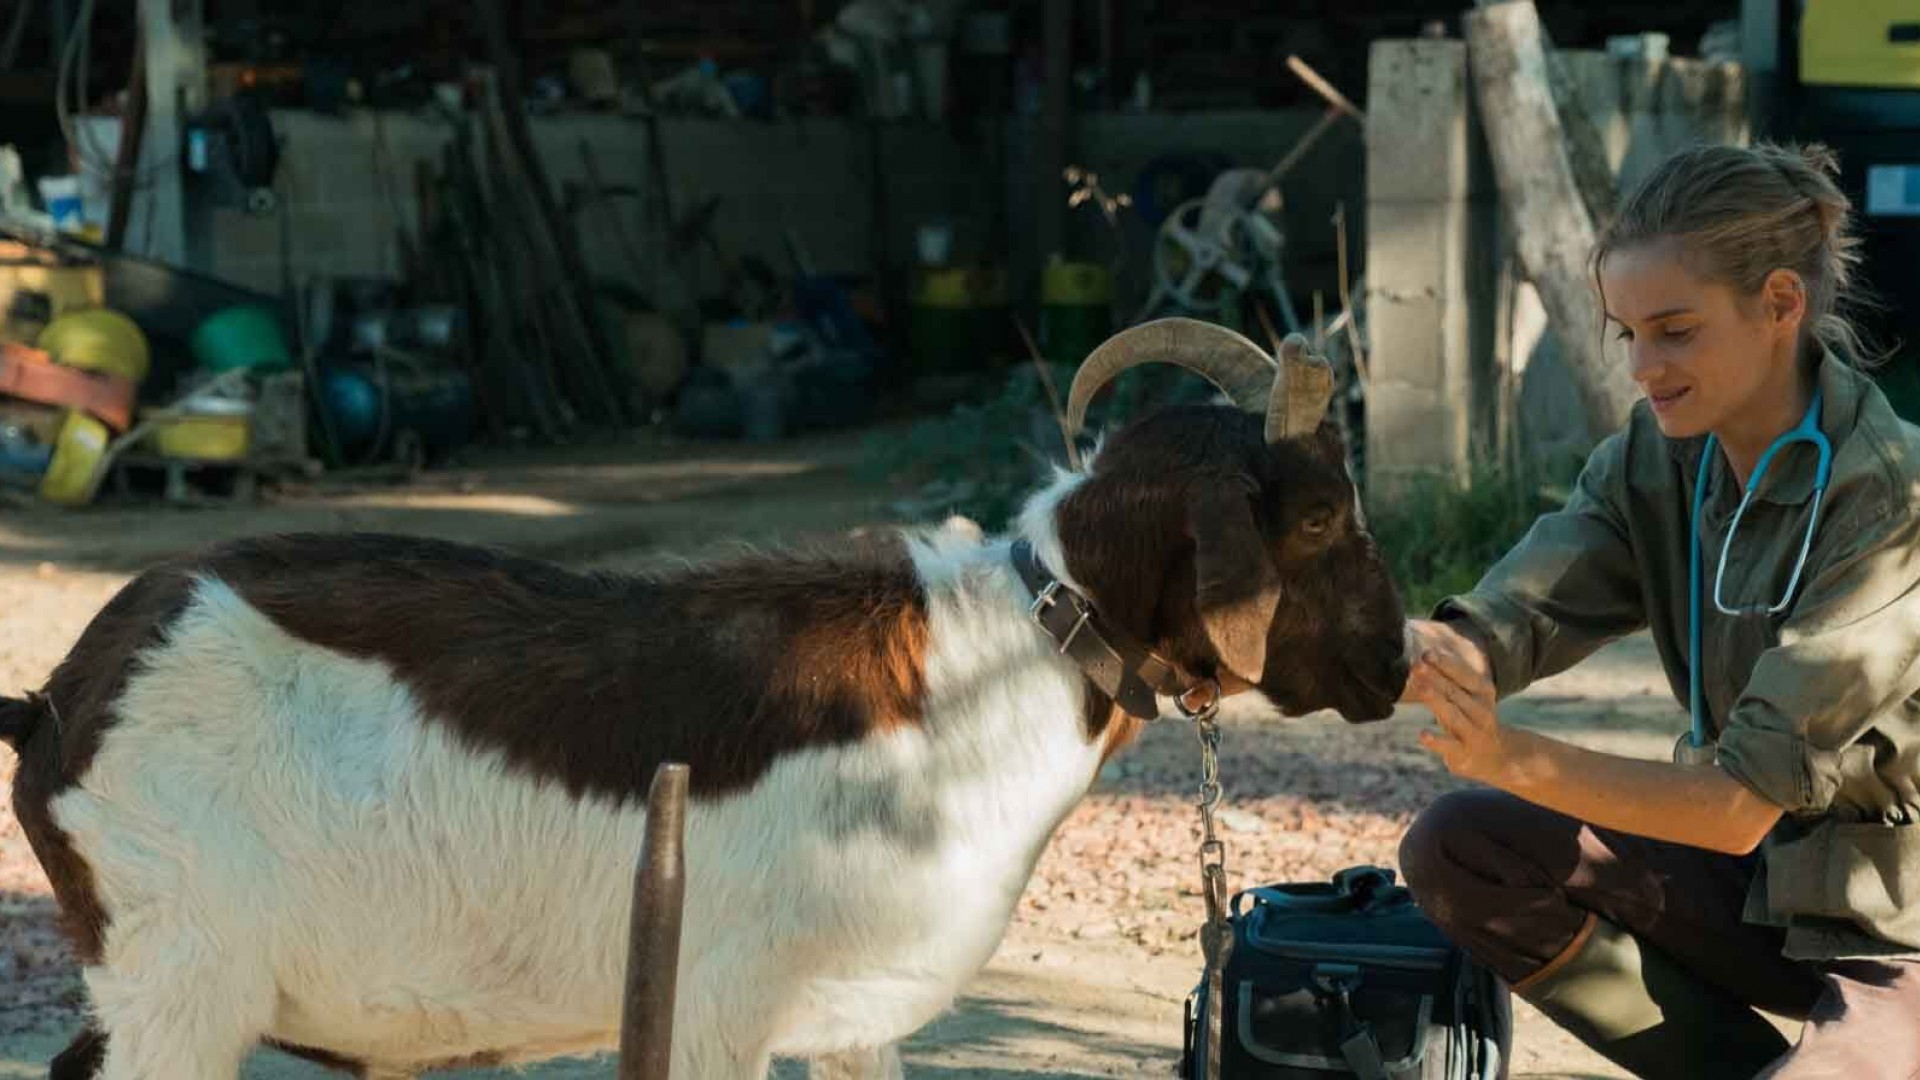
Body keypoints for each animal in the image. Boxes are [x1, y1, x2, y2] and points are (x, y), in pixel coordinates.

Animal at [0, 315, 1413, 1068]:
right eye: (1321, 511)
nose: (1397, 661)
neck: (993, 666)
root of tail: (60, 701)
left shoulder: (853, 1020)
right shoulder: (715, 1015)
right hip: (181, 982)